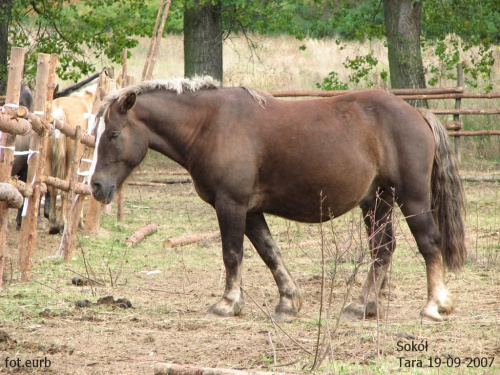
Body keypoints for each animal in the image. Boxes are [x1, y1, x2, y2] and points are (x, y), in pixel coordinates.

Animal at [90, 77, 464, 324]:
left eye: (113, 134)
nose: (95, 186)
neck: (210, 124)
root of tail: (418, 114)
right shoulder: (251, 210)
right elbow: (270, 253)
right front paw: (288, 302)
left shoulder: (231, 204)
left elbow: (232, 254)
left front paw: (228, 303)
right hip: (377, 201)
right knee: (383, 248)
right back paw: (365, 306)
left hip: (412, 199)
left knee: (429, 243)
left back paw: (434, 306)